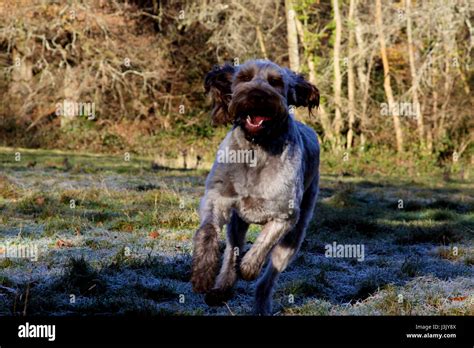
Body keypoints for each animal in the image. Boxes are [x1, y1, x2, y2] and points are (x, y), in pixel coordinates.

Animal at [191, 59, 320, 316]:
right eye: (244, 77)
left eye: (276, 82)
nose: (257, 95)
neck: (256, 150)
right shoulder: (216, 198)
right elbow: (208, 231)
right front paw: (202, 274)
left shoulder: (285, 216)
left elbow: (263, 245)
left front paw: (249, 267)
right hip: (236, 224)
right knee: (231, 252)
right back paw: (221, 288)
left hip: (295, 236)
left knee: (268, 278)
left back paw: (260, 302)